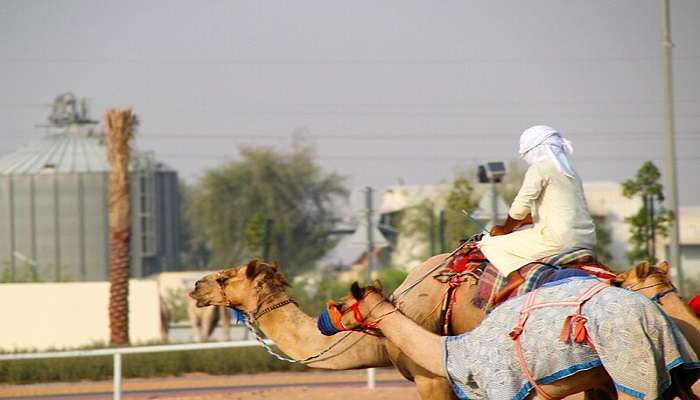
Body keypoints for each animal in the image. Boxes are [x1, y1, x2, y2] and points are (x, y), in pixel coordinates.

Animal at [336, 278, 696, 400]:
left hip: (634, 367)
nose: (330, 318)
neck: (456, 351)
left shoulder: (503, 388)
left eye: (342, 303)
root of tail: (654, 315)